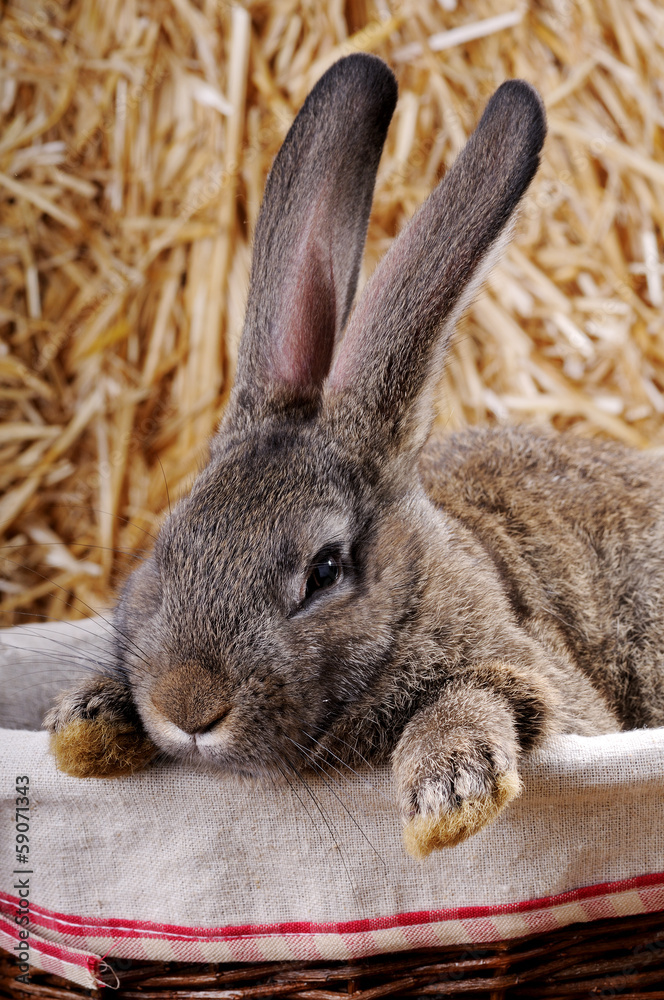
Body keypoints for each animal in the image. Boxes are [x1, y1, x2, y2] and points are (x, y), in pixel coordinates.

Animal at [44, 53, 664, 859]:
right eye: (166, 546)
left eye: (326, 570)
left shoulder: (541, 679)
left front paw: (447, 799)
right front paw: (84, 726)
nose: (188, 705)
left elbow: (486, 690)